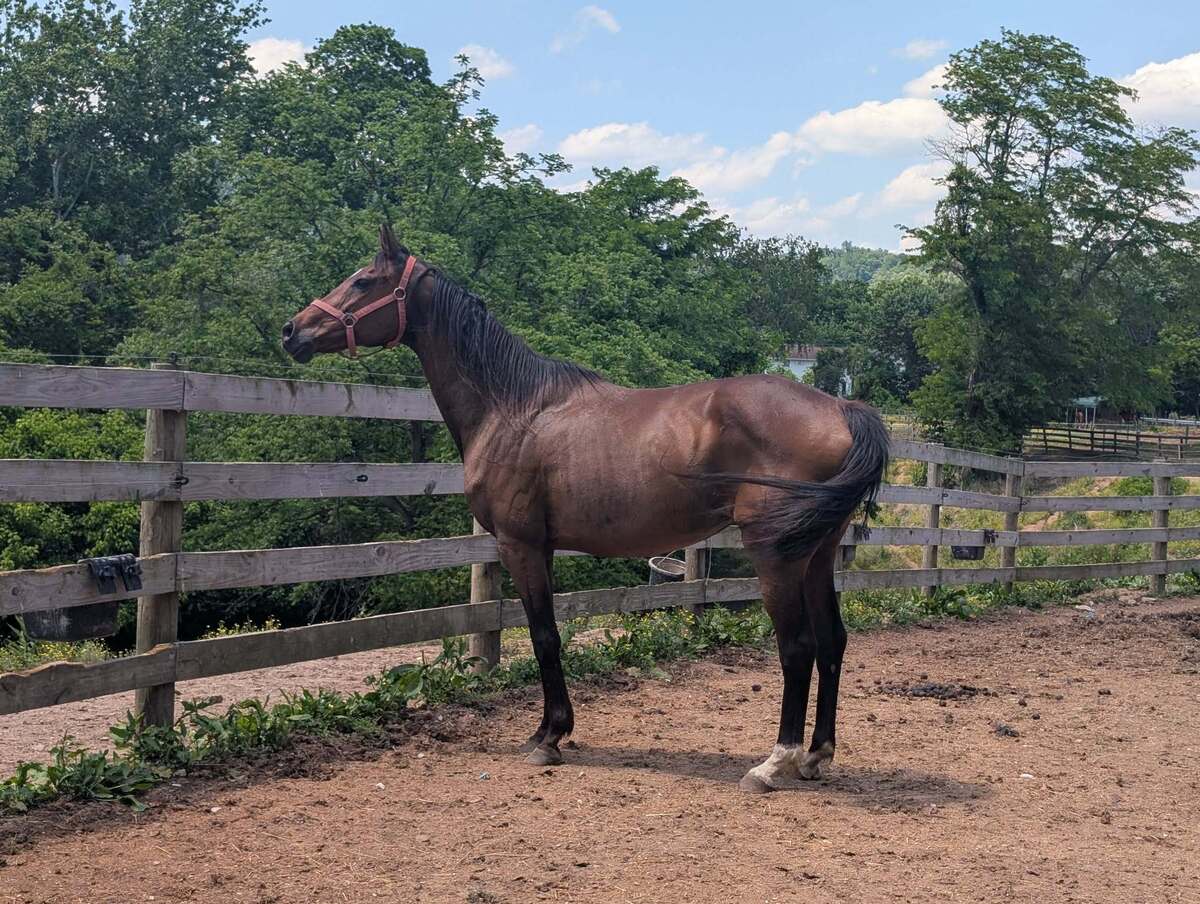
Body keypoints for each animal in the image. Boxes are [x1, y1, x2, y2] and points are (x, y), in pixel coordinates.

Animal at [282, 225, 888, 792]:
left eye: (364, 281)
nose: (293, 331)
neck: (513, 406)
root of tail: (842, 407)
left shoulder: (520, 546)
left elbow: (544, 635)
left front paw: (550, 736)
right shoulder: (542, 547)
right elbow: (544, 635)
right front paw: (547, 730)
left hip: (776, 558)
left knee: (798, 648)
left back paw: (773, 763)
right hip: (816, 555)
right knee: (833, 641)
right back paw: (816, 755)